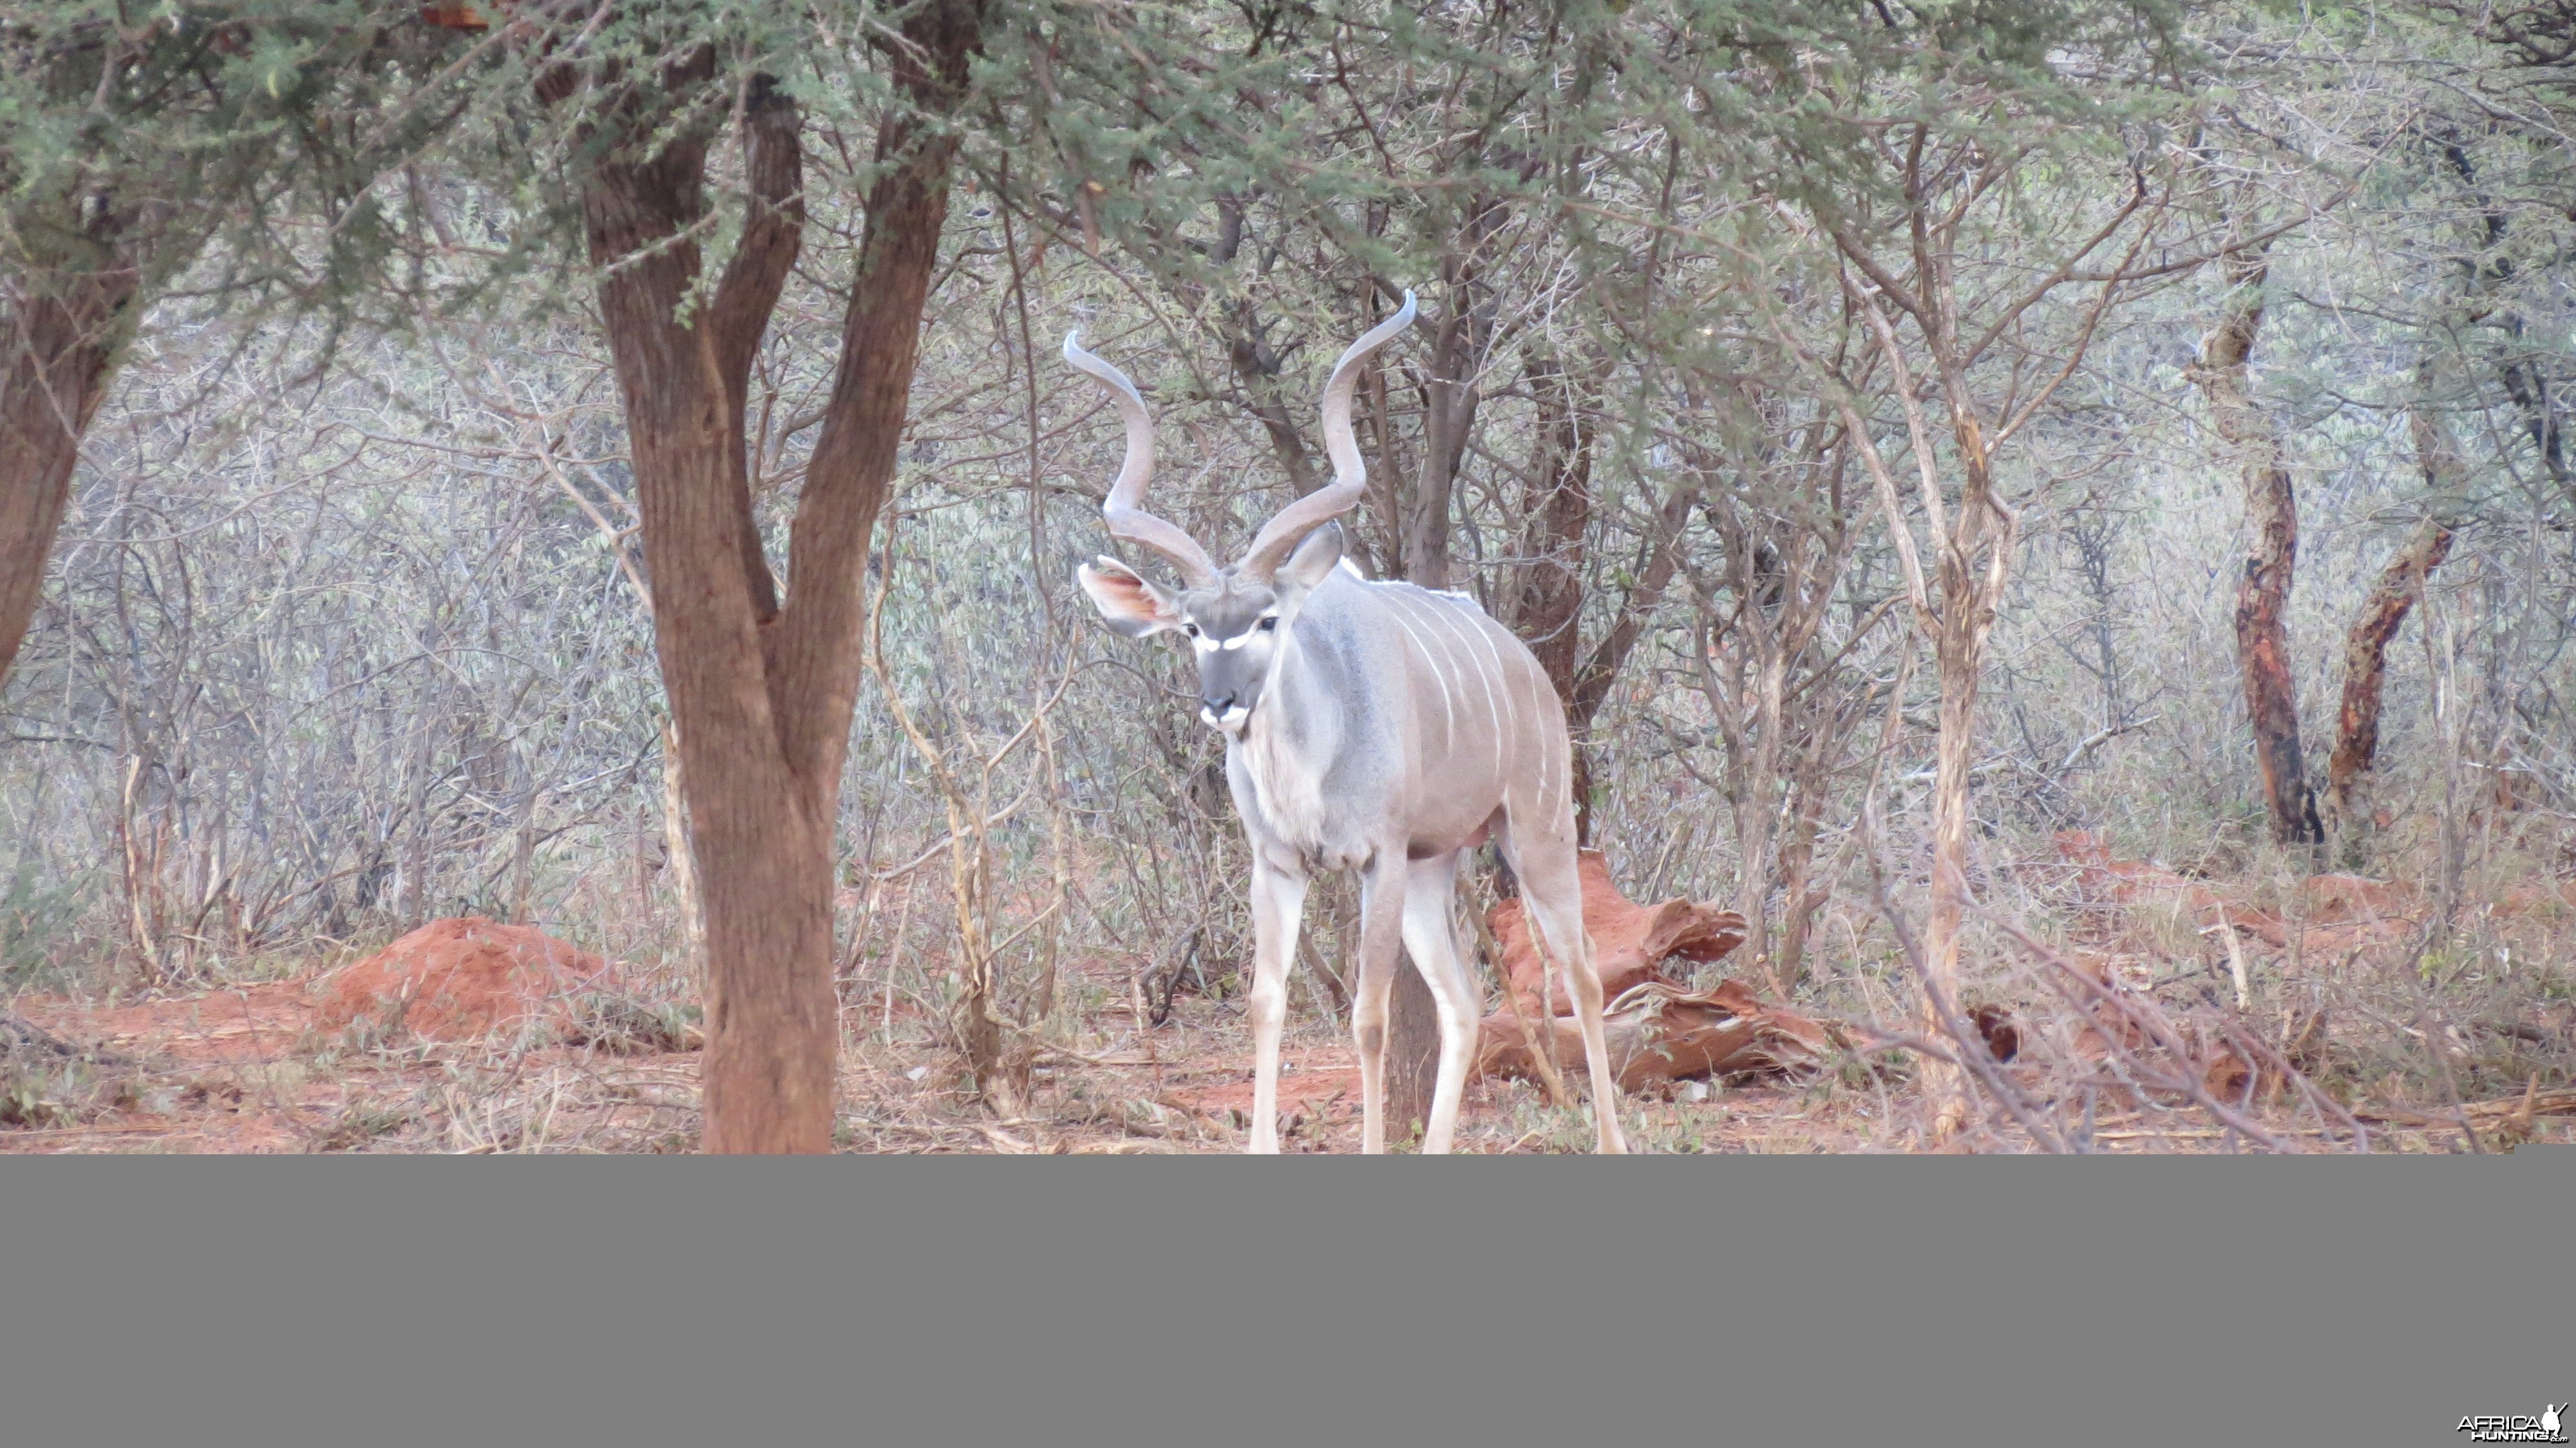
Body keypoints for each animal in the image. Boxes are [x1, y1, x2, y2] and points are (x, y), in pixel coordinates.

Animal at [1056, 294, 1618, 1149]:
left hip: (1534, 830)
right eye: (1190, 628)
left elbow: (1369, 1019)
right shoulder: (1279, 864)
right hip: (1434, 865)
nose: (1221, 702)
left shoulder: (1376, 858)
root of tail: (1527, 665)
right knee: (1463, 1000)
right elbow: (1267, 1002)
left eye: (1266, 619)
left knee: (1581, 970)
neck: (1309, 766)